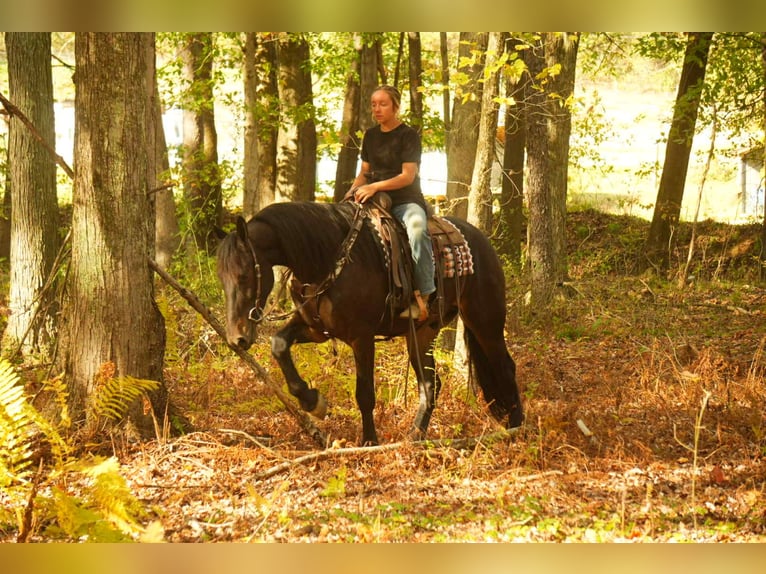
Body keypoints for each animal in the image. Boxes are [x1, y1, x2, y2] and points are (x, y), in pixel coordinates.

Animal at [216, 199, 523, 445]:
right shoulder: (315, 329)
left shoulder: (361, 337)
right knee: (430, 384)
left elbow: (364, 393)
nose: (236, 338)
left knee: (505, 367)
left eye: (244, 275)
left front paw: (368, 441)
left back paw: (518, 428)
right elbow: (279, 344)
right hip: (422, 334)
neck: (325, 259)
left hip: (485, 321)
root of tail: (481, 241)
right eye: (222, 277)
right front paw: (312, 401)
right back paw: (415, 436)